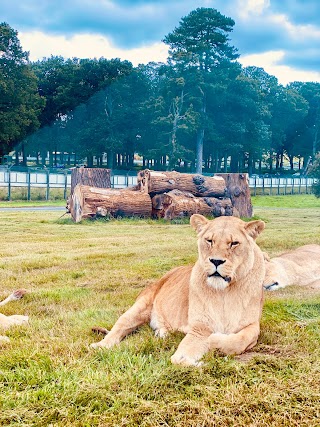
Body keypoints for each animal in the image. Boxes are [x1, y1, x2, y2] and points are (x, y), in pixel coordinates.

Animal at [91, 216, 266, 366]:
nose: (216, 261)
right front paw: (194, 360)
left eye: (234, 243)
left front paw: (214, 341)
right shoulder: (199, 329)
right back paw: (100, 345)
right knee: (118, 327)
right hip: (139, 307)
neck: (225, 293)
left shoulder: (252, 324)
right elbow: (178, 359)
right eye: (209, 240)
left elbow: (240, 340)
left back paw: (163, 333)